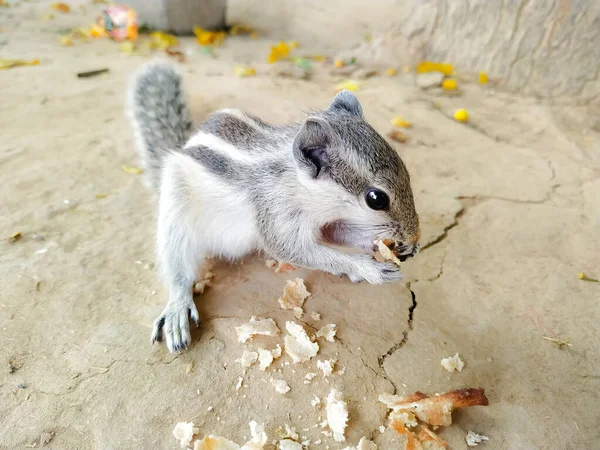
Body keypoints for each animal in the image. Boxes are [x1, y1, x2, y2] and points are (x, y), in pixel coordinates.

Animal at [126, 62, 420, 352]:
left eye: (406, 171)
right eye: (376, 199)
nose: (414, 235)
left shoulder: (328, 223)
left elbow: (339, 236)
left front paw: (396, 247)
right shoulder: (276, 216)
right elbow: (294, 250)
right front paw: (370, 269)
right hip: (175, 212)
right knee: (177, 268)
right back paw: (177, 307)